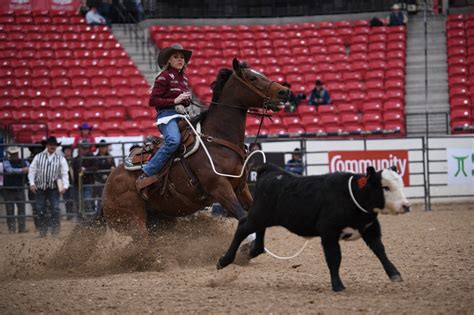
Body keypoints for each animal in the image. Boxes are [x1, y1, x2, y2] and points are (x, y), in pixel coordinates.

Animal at [101, 58, 288, 241]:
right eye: (252, 78)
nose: (284, 92)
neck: (218, 141)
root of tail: (108, 183)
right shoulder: (220, 188)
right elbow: (242, 217)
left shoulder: (241, 188)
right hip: (134, 223)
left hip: (161, 220)